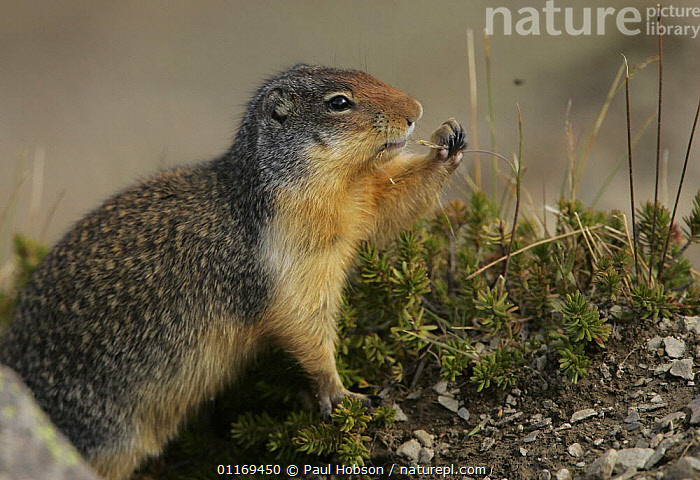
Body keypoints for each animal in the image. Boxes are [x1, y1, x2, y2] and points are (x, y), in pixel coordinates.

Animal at [0, 64, 466, 480]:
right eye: (339, 102)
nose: (416, 110)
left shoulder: (359, 198)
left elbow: (389, 203)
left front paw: (448, 140)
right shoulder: (291, 256)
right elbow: (305, 322)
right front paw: (342, 392)